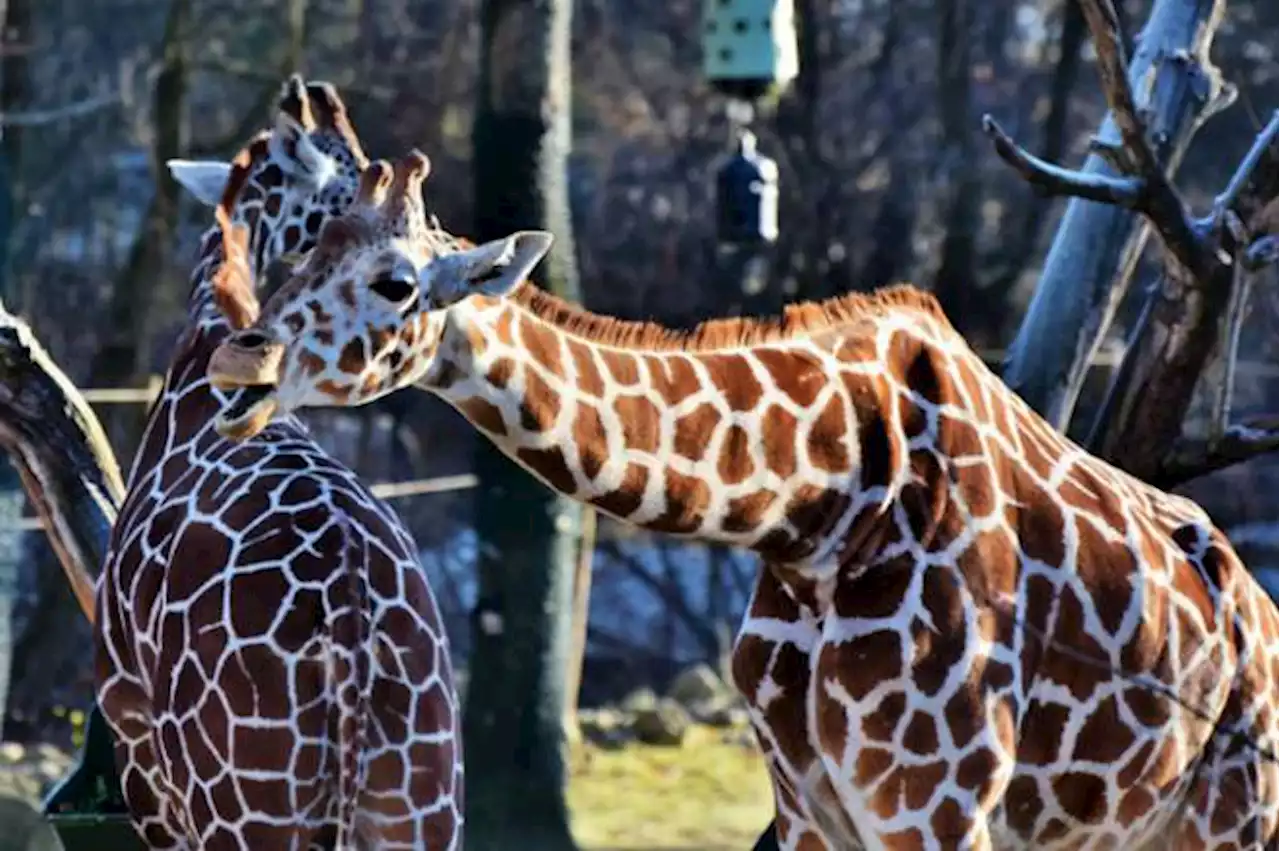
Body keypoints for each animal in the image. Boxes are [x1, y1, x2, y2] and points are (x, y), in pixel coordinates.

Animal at [202, 154, 1280, 849]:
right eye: (299, 254)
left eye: (394, 282)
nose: (237, 362)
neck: (819, 511)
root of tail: (1258, 620)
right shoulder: (808, 803)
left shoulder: (935, 800)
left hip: (1231, 814)